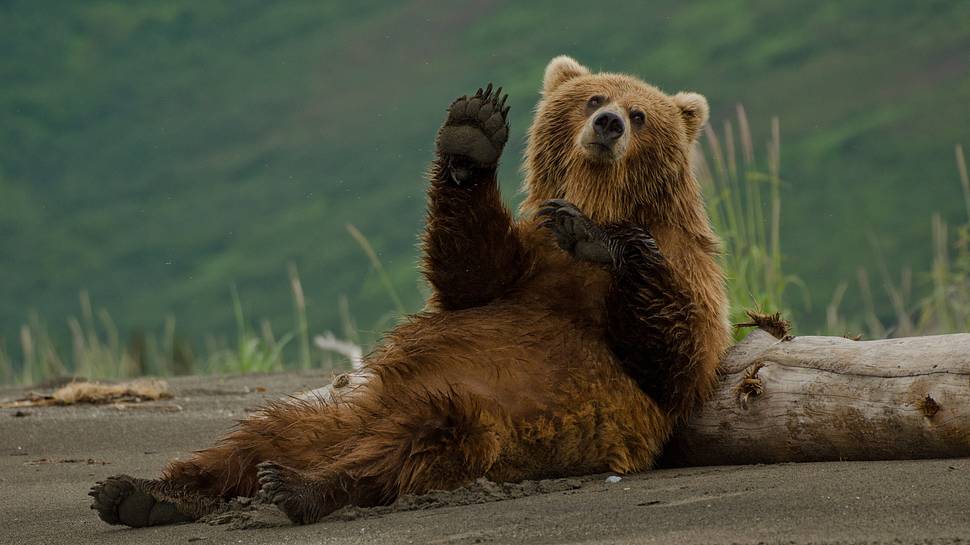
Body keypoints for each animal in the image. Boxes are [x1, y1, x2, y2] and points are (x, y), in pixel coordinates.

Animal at [91, 56, 728, 528]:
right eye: (594, 99)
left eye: (640, 113)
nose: (609, 124)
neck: (602, 198)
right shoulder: (525, 265)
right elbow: (470, 269)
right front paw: (473, 135)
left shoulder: (685, 273)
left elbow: (674, 355)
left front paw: (599, 239)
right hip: (335, 411)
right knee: (252, 436)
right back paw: (142, 492)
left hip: (486, 420)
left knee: (414, 443)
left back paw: (299, 486)